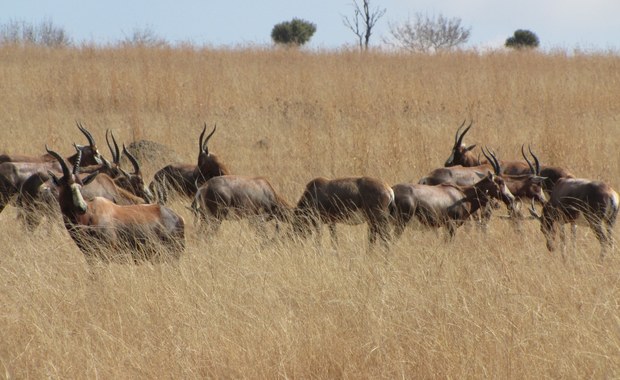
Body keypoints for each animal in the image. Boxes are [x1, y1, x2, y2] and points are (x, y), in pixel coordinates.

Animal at [392, 172, 520, 240]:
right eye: (500, 182)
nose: (511, 198)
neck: (463, 194)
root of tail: (392, 191)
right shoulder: (451, 226)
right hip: (400, 224)